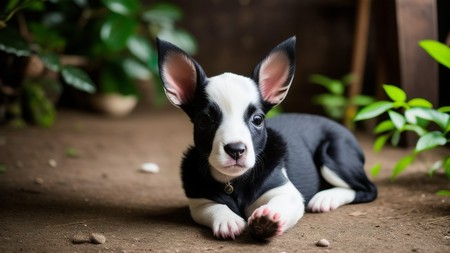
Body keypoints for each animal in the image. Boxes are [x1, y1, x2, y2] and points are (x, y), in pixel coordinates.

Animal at [156, 36, 378, 240]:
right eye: (204, 120)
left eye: (257, 119)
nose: (236, 149)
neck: (234, 183)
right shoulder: (199, 202)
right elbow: (215, 206)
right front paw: (228, 220)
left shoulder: (288, 193)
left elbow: (281, 203)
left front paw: (268, 218)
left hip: (333, 155)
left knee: (367, 189)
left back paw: (326, 198)